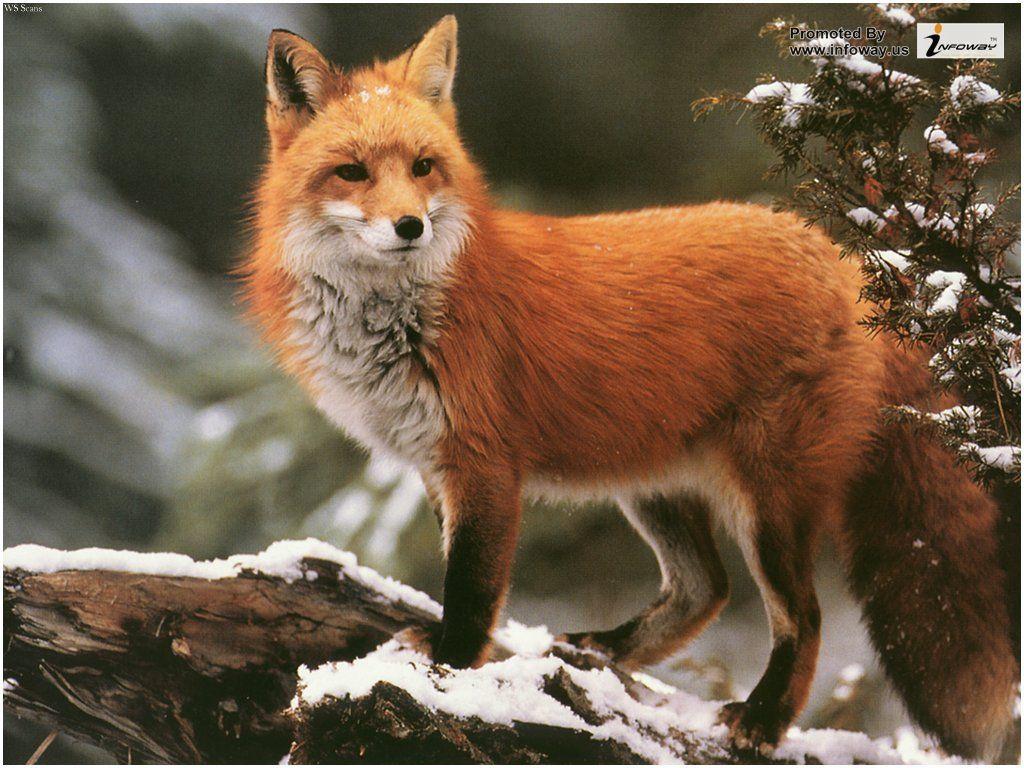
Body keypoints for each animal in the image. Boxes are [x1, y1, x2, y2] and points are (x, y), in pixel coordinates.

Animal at [240, 16, 1018, 758]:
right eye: (351, 171)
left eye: (423, 167)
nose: (410, 226)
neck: (399, 319)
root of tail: (850, 260)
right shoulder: (435, 465)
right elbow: (464, 578)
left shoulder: (483, 465)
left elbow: (472, 590)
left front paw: (452, 670)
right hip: (652, 485)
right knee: (705, 589)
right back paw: (605, 652)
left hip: (768, 502)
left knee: (804, 616)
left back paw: (763, 722)